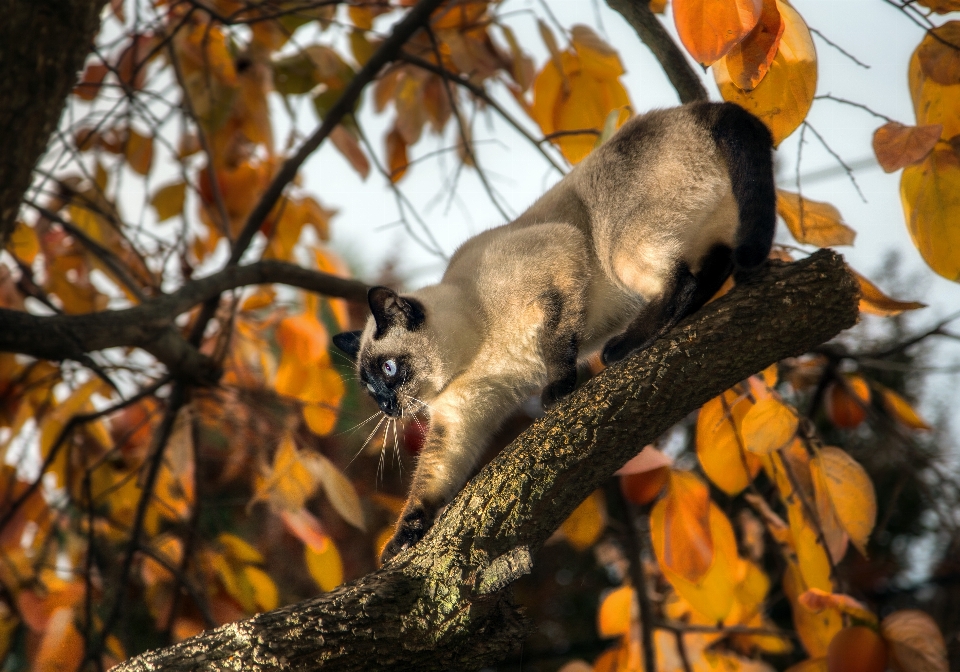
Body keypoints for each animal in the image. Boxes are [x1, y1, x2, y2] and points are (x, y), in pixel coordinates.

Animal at [334, 101, 776, 560]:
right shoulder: (458, 422)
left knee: (682, 282)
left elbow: (557, 347)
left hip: (618, 248)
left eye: (388, 370)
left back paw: (623, 347)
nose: (388, 407)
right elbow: (431, 481)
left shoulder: (558, 269)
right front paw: (403, 537)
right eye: (370, 388)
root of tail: (702, 108)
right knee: (714, 269)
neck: (474, 352)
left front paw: (558, 390)